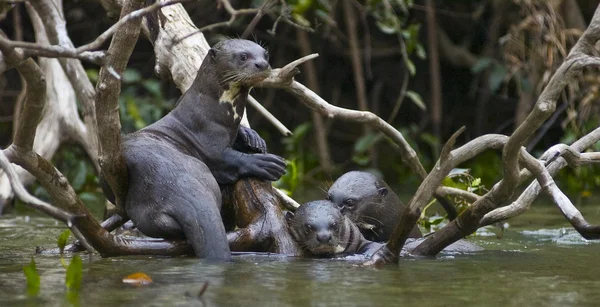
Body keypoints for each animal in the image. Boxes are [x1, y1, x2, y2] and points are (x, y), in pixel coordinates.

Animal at [111, 39, 288, 260]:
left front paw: (252, 137)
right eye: (243, 56)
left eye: (265, 54)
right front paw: (267, 163)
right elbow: (227, 159)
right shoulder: (207, 141)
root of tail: (179, 189)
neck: (212, 110)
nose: (262, 65)